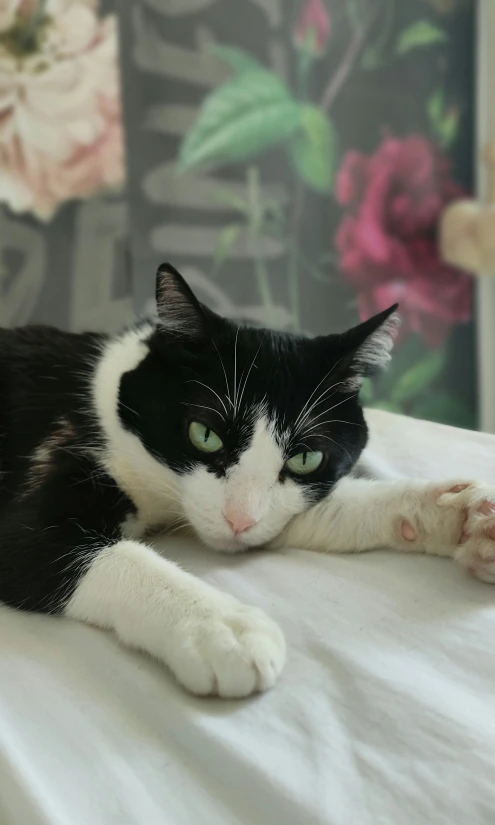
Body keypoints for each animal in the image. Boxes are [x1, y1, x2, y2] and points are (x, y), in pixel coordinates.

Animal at [0, 260, 495, 700]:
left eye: (305, 459)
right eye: (205, 435)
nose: (239, 520)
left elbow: (320, 512)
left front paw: (462, 518)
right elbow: (102, 554)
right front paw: (222, 628)